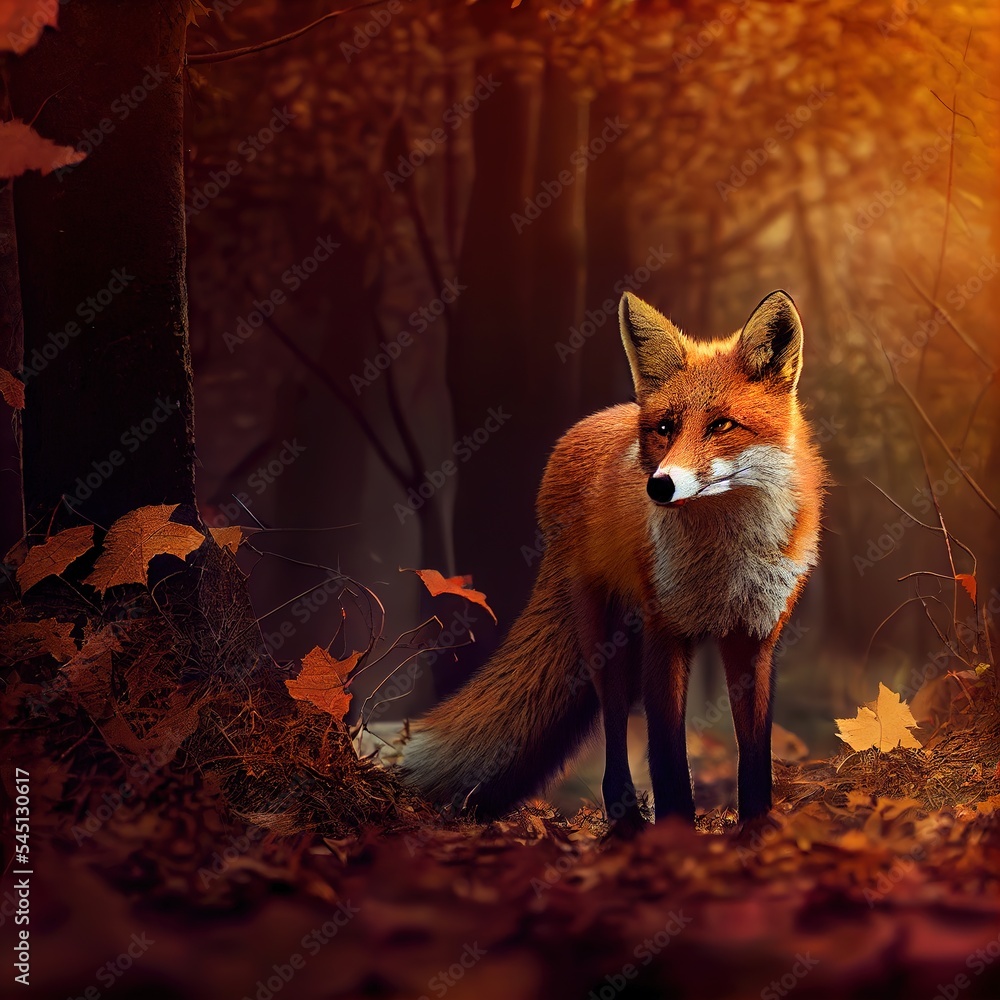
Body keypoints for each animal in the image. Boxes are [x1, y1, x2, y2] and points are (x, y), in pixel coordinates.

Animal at [402, 290, 825, 830]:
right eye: (665, 428)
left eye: (722, 425)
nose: (659, 486)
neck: (725, 560)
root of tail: (588, 423)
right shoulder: (666, 631)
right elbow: (667, 758)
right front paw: (675, 835)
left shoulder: (754, 638)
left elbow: (754, 758)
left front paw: (756, 831)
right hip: (605, 640)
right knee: (615, 724)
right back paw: (624, 822)